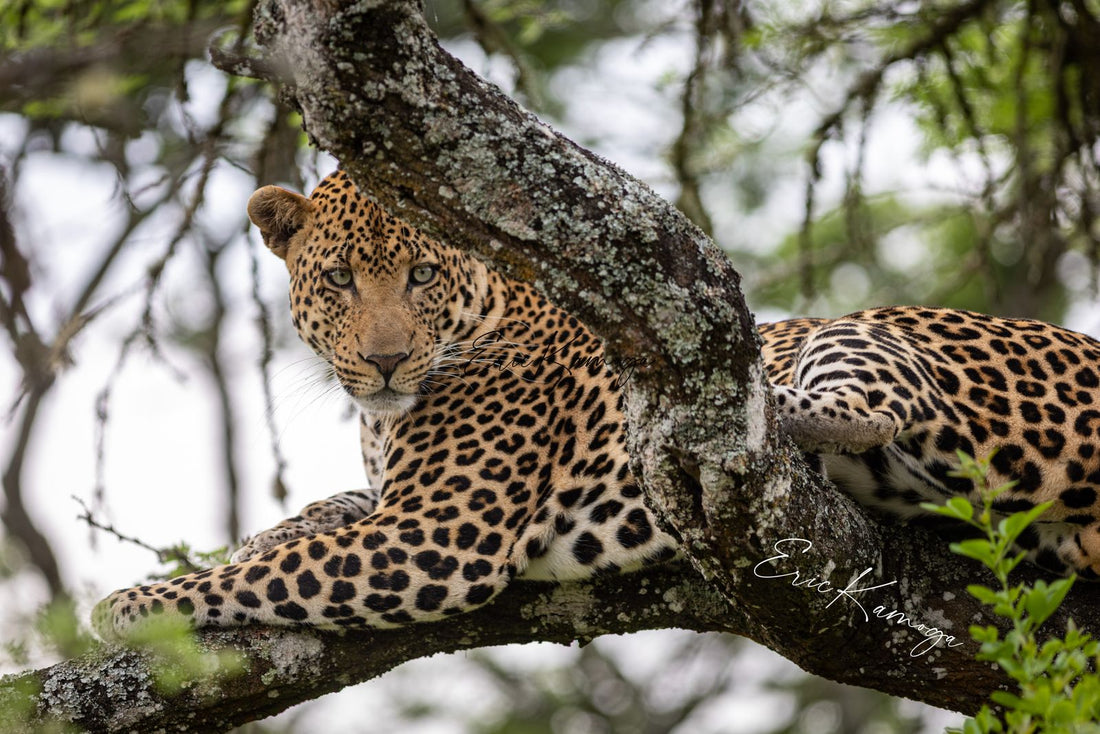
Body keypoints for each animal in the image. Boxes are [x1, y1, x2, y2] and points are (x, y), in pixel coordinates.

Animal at [94, 169, 1100, 640]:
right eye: (338, 279)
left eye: (421, 275)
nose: (385, 361)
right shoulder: (395, 505)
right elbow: (309, 523)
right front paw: (260, 533)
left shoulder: (434, 537)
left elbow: (263, 577)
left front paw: (132, 602)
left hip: (887, 330)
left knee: (869, 396)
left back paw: (731, 412)